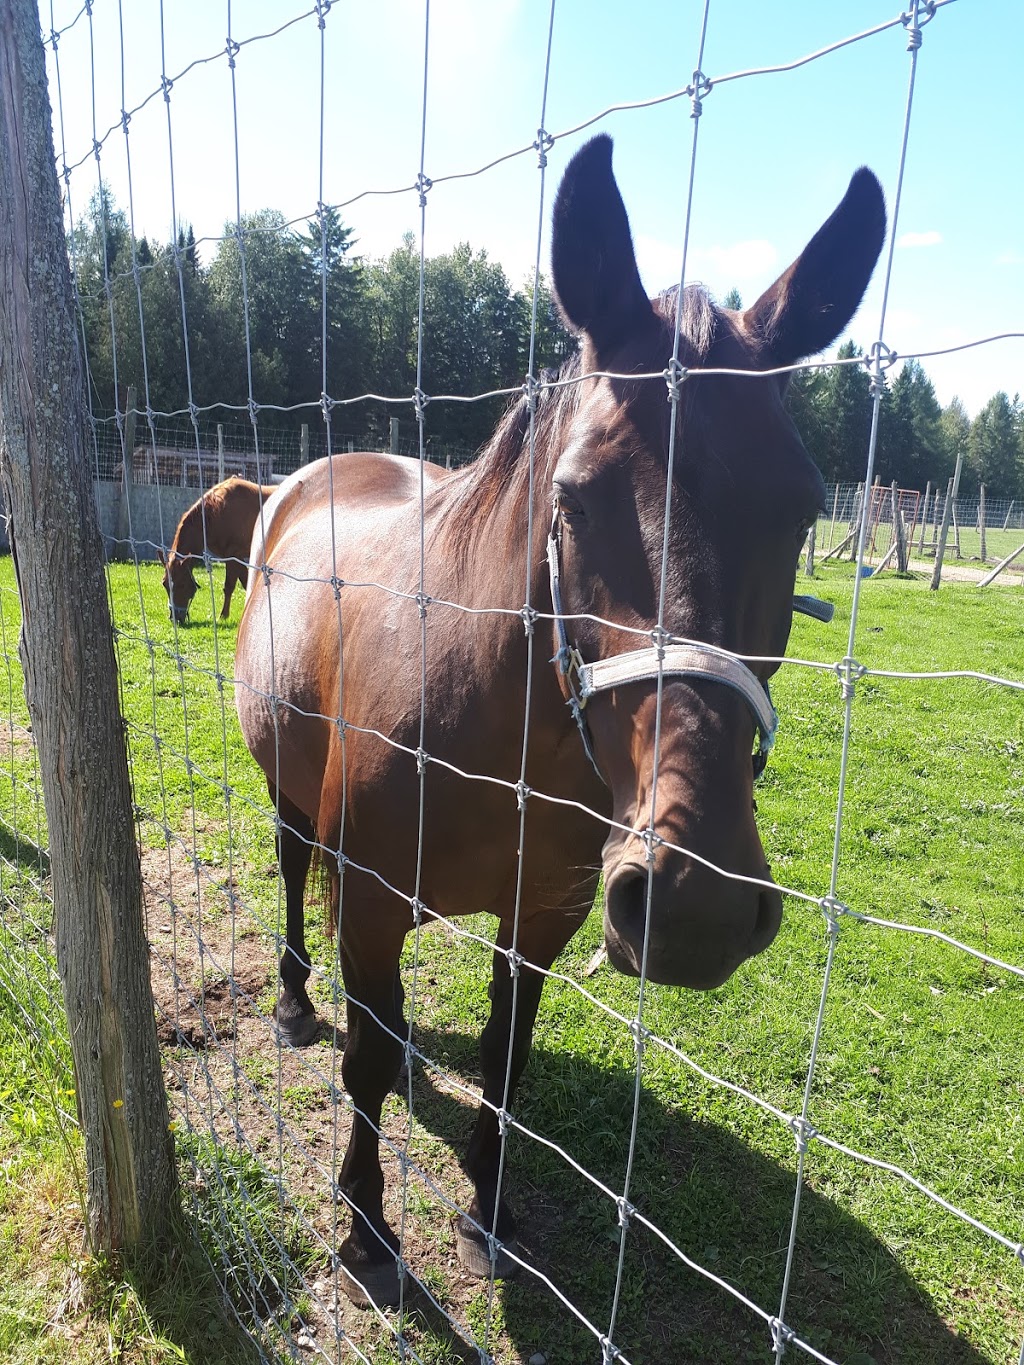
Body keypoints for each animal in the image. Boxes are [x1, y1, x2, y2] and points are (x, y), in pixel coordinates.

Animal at [158, 475, 277, 625]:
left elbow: (229, 586)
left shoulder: (234, 556)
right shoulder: (235, 558)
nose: (175, 619)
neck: (218, 511)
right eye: (164, 584)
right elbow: (245, 583)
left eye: (182, 584)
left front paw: (223, 616)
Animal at [234, 135, 890, 1299]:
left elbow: (506, 1057)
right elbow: (366, 1056)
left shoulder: (542, 918)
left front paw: (487, 1209)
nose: (695, 901)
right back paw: (297, 1003)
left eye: (805, 506)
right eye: (575, 498)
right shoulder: (369, 903)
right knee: (295, 884)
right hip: (291, 801)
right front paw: (366, 1225)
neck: (497, 742)